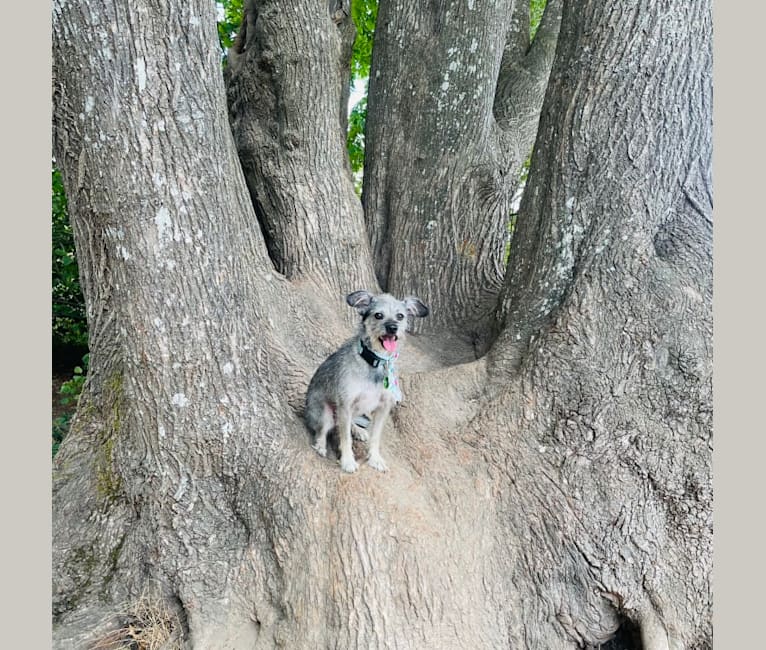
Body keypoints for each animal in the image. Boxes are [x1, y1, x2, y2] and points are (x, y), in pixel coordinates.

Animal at [304, 290, 428, 470]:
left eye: (400, 316)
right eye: (378, 315)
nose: (392, 327)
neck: (377, 362)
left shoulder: (383, 408)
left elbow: (375, 437)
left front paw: (375, 458)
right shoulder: (346, 404)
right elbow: (345, 438)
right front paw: (348, 461)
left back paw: (358, 430)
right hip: (325, 413)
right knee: (323, 430)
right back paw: (320, 446)